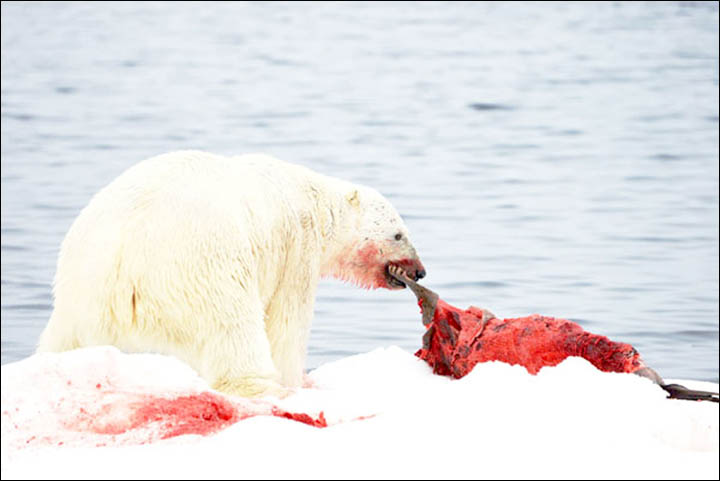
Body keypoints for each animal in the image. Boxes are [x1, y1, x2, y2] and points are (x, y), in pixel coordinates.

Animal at [36, 151, 424, 398]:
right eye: (398, 234)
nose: (419, 271)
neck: (314, 199)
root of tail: (123, 255)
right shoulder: (296, 248)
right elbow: (287, 323)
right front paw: (297, 381)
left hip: (79, 286)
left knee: (60, 338)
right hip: (203, 263)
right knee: (235, 326)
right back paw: (259, 385)